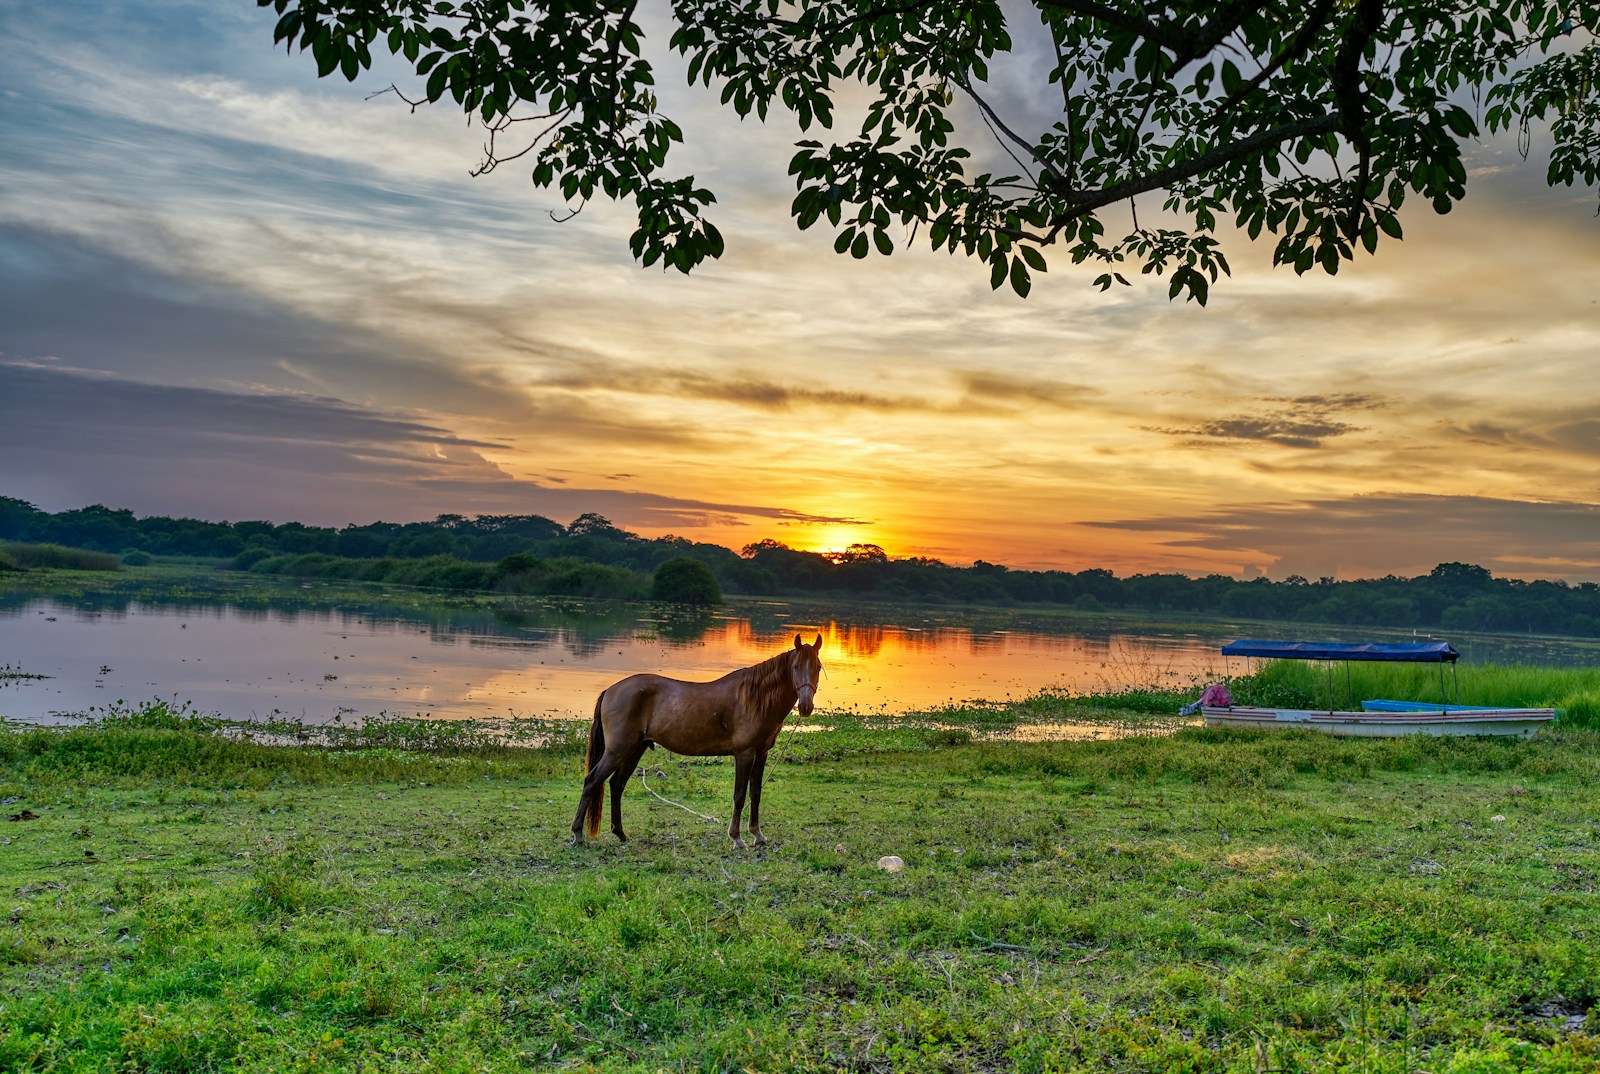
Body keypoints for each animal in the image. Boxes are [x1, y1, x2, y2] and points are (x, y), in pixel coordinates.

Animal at [570, 633, 823, 848]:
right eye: (796, 667)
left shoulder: (761, 753)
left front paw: (757, 835)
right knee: (592, 781)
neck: (753, 698)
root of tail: (610, 690)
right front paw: (736, 838)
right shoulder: (744, 754)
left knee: (616, 785)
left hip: (634, 749)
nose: (806, 706)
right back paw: (577, 834)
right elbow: (740, 795)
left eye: (818, 667)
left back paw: (620, 833)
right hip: (617, 750)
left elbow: (756, 793)